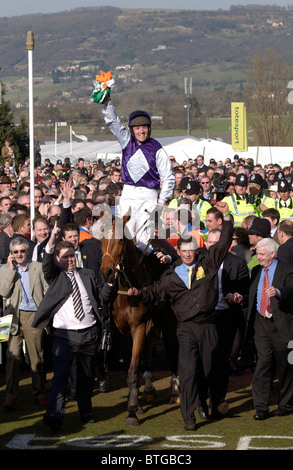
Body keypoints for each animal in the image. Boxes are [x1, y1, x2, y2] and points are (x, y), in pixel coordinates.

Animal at [99, 216, 179, 426]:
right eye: (100, 237)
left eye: (121, 239)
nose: (106, 272)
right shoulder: (119, 331)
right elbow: (129, 364)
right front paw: (137, 404)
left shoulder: (138, 327)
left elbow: (133, 370)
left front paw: (132, 412)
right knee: (148, 349)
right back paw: (149, 388)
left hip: (167, 320)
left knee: (171, 346)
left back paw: (175, 390)